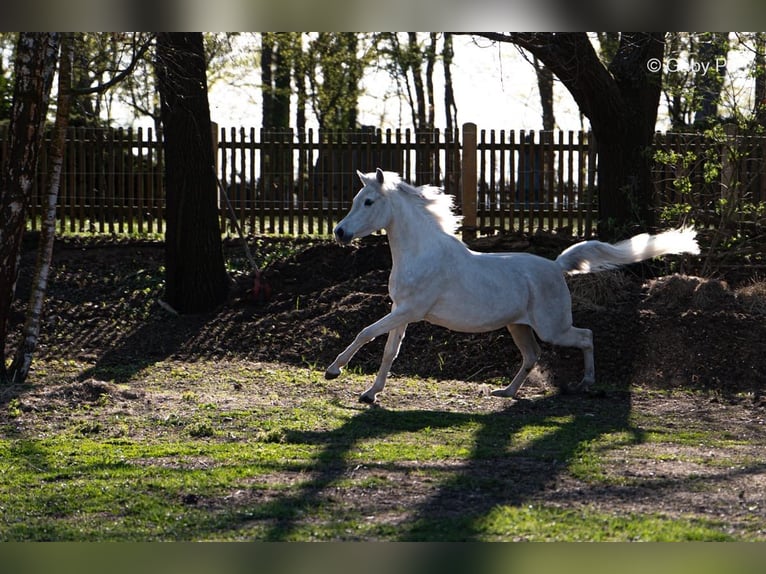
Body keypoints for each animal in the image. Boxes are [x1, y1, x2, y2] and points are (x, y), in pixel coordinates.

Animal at [325, 168, 700, 404]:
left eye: (369, 202)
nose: (340, 233)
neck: (422, 252)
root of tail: (556, 266)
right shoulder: (399, 310)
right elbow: (389, 350)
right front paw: (370, 394)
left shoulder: (410, 310)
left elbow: (365, 333)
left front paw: (333, 371)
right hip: (518, 326)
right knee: (532, 355)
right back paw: (506, 393)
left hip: (552, 327)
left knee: (586, 336)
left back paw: (587, 384)